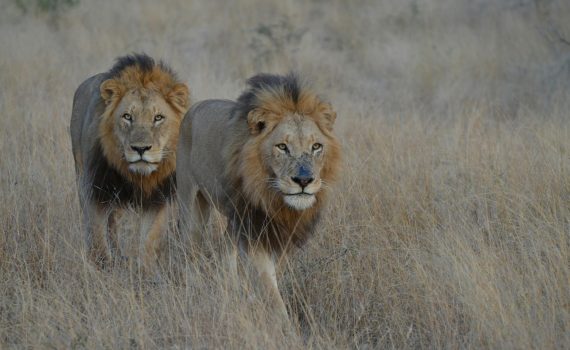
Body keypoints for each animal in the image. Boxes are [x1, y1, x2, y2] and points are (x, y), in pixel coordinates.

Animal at [70, 53, 190, 270]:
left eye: (158, 117)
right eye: (127, 116)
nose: (140, 149)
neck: (138, 177)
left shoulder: (158, 199)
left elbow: (149, 239)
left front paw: (144, 270)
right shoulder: (96, 191)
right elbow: (98, 237)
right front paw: (102, 268)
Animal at [175, 72, 340, 316]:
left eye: (316, 146)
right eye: (282, 147)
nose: (304, 181)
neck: (274, 198)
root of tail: (194, 107)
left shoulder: (276, 232)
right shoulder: (254, 230)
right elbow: (270, 292)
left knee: (225, 247)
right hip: (192, 207)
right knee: (190, 250)